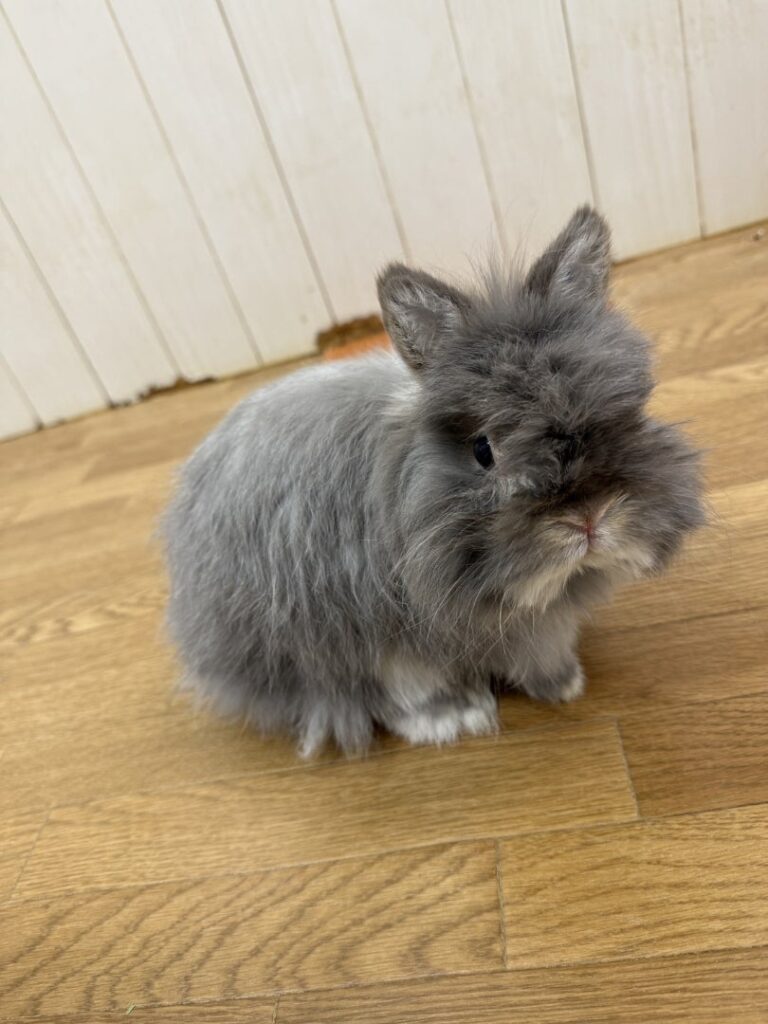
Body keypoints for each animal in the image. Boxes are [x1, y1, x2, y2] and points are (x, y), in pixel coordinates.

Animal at [163, 206, 704, 757]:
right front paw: (459, 716)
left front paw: (564, 683)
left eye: (627, 411)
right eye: (483, 450)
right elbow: (409, 685)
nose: (588, 519)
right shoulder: (378, 631)